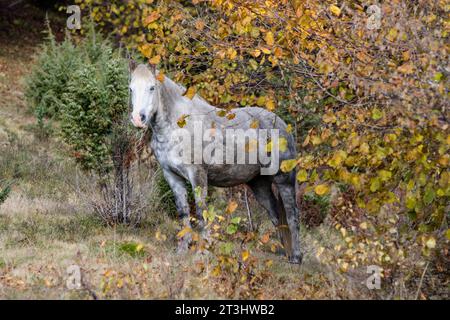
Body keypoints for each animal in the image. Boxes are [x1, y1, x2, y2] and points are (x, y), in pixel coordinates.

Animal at [128, 61, 300, 264]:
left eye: (152, 87)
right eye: (131, 89)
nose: (138, 119)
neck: (179, 126)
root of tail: (281, 125)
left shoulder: (198, 175)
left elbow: (201, 212)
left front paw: (203, 251)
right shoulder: (172, 176)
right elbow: (183, 212)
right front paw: (182, 249)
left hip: (284, 180)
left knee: (292, 215)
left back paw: (296, 257)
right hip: (259, 184)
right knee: (275, 215)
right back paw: (284, 253)